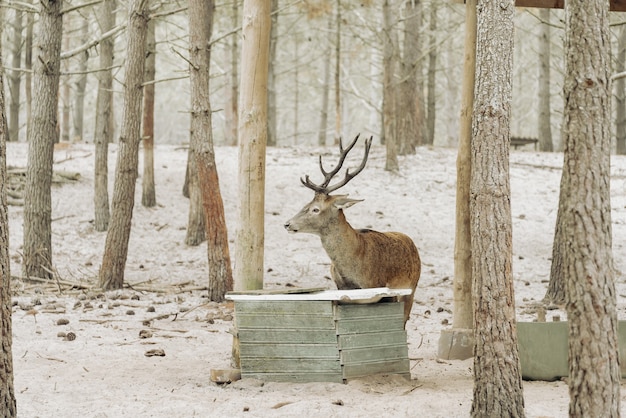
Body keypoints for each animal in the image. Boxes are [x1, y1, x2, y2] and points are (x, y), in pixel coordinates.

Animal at [282, 134, 420, 324]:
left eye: (315, 209)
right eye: (306, 204)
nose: (287, 224)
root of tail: (410, 240)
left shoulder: (377, 287)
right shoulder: (341, 287)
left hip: (412, 287)